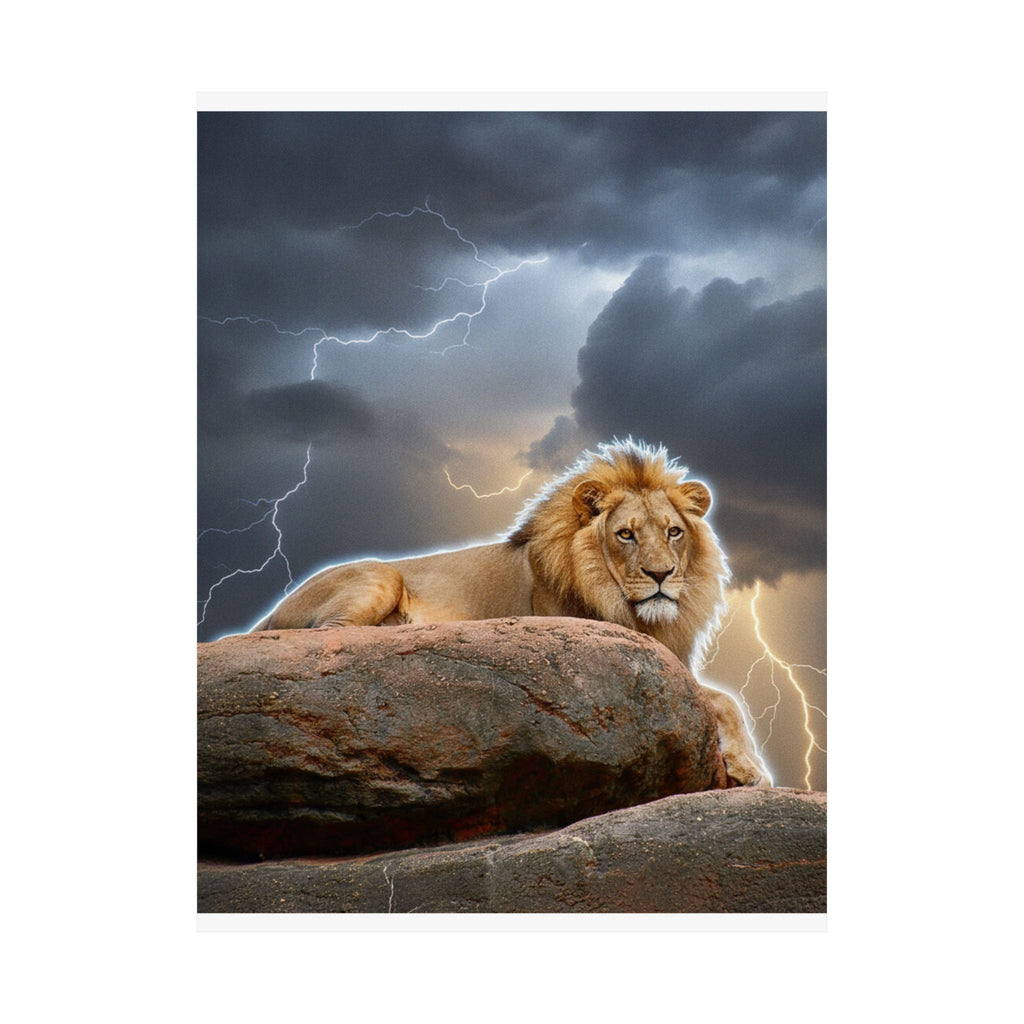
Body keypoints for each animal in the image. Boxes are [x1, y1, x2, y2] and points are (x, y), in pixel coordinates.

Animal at [251, 439, 771, 786]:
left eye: (673, 532)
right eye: (625, 534)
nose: (661, 575)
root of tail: (272, 609)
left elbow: (728, 699)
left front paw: (749, 767)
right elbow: (721, 698)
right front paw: (752, 770)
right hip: (381, 577)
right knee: (332, 636)